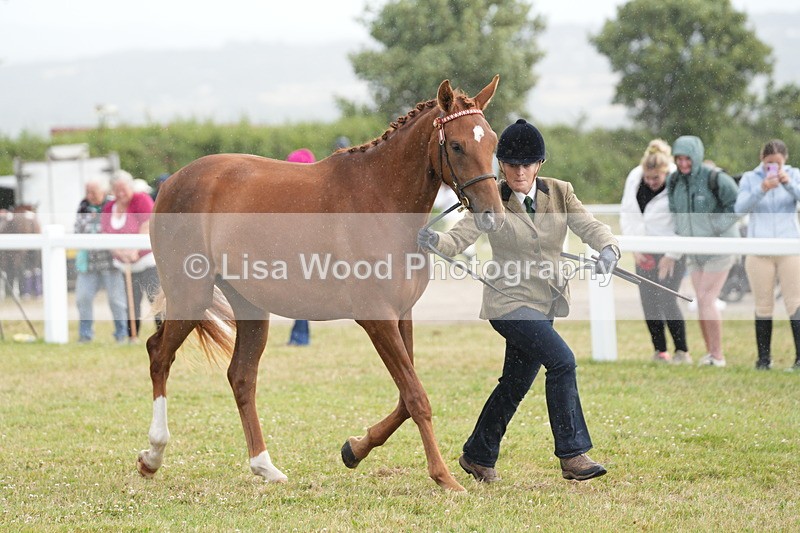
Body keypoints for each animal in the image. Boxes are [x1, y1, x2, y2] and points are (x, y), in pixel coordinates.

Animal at [137, 76, 505, 492]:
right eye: (456, 145)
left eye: (492, 142)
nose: (492, 215)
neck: (380, 200)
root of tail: (172, 183)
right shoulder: (377, 319)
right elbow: (416, 397)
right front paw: (443, 476)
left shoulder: (402, 315)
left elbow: (403, 399)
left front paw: (355, 448)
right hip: (190, 295)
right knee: (159, 355)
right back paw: (153, 455)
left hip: (250, 306)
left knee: (241, 376)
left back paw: (265, 466)